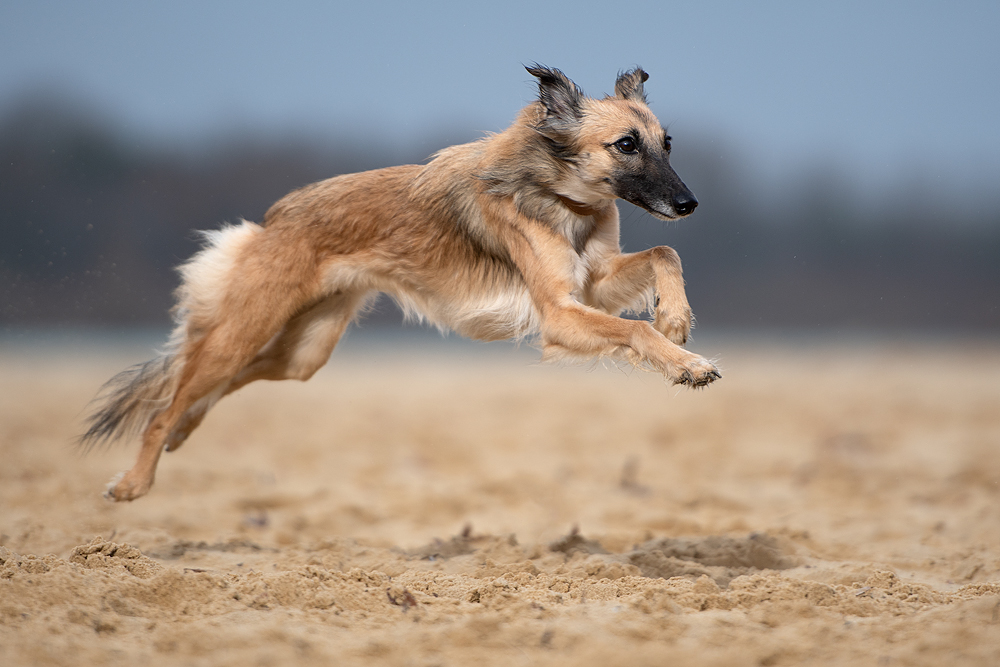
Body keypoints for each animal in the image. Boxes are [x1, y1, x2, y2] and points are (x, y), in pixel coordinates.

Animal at [78, 66, 720, 500]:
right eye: (625, 145)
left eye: (666, 144)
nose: (689, 204)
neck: (560, 195)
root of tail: (274, 219)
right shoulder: (561, 314)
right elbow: (634, 331)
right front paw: (685, 362)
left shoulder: (593, 284)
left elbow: (665, 254)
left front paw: (675, 319)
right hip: (247, 330)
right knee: (167, 403)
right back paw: (134, 481)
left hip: (303, 352)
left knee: (212, 387)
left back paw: (184, 431)